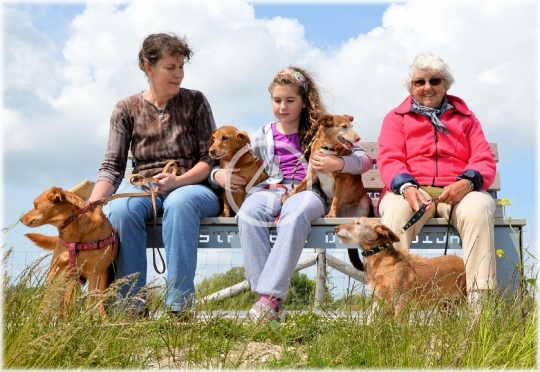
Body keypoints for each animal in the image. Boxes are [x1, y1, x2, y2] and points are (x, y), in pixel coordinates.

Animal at [21, 187, 118, 318]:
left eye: (35, 204)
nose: (21, 220)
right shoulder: (54, 272)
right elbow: (47, 302)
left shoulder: (94, 274)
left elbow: (88, 305)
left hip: (100, 281)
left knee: (99, 304)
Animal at [334, 217, 464, 318]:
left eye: (358, 223)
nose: (335, 228)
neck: (381, 259)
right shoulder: (382, 303)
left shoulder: (400, 302)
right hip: (446, 305)